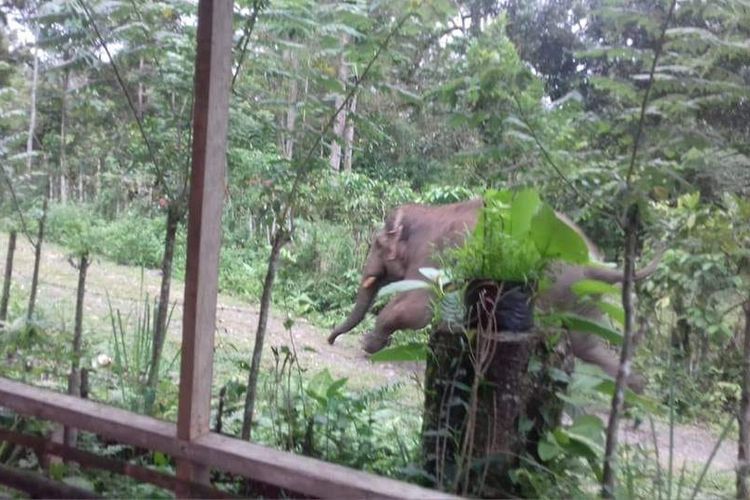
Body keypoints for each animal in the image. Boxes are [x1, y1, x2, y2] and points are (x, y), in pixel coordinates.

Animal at [326, 197, 660, 392]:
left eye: (375, 245)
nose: (330, 340)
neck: (426, 214)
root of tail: (597, 264)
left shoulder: (436, 253)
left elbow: (418, 306)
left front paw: (368, 345)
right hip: (582, 296)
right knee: (585, 342)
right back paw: (635, 394)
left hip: (554, 286)